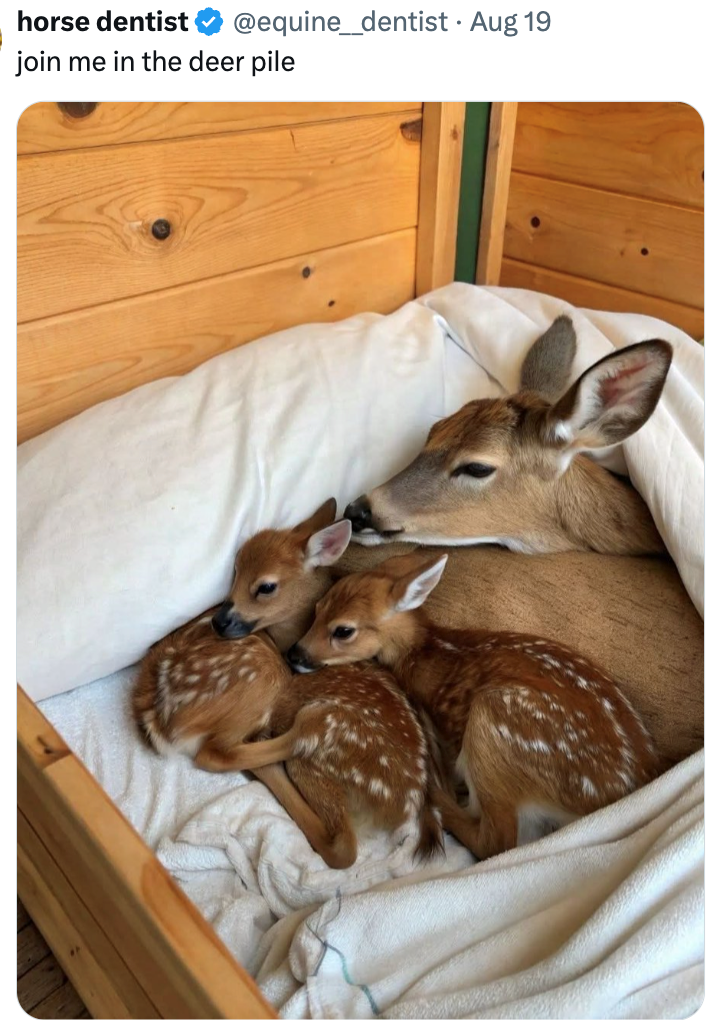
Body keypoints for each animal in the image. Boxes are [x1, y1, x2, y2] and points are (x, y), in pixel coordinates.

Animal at [288, 551, 659, 859]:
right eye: (317, 609)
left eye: (343, 630)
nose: (294, 653)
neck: (427, 651)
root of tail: (616, 796)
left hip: (494, 725)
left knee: (496, 841)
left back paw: (436, 792)